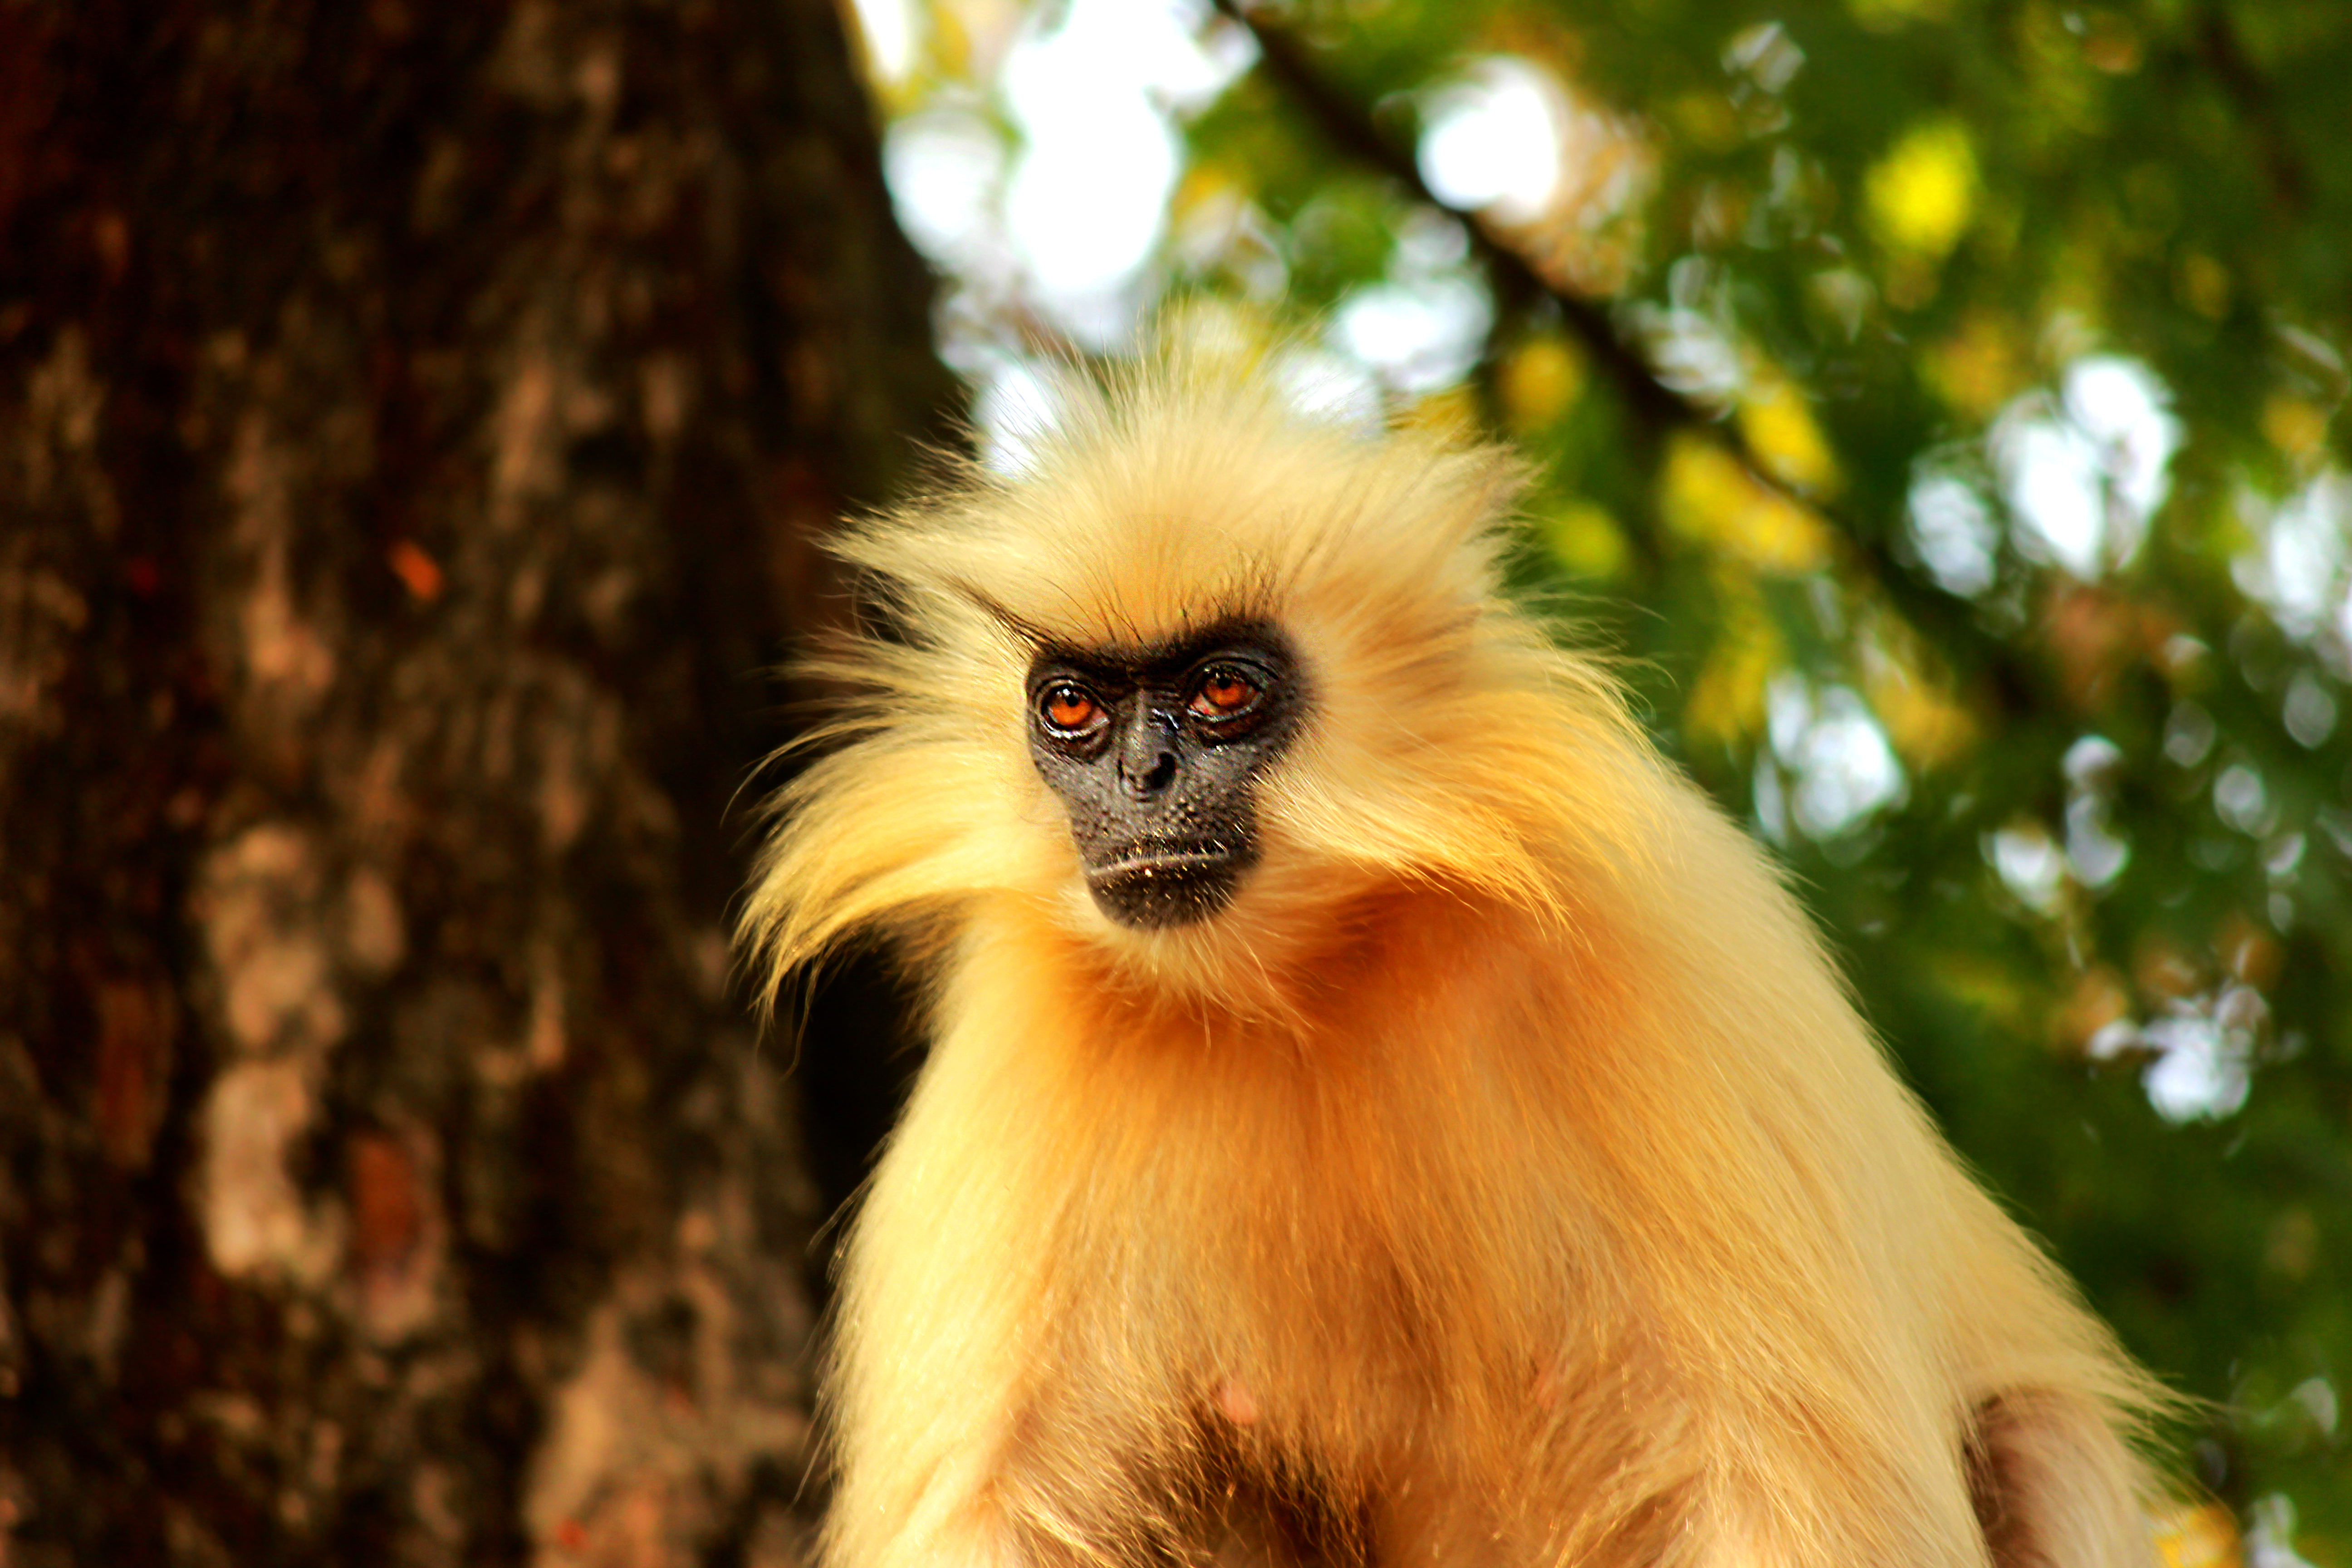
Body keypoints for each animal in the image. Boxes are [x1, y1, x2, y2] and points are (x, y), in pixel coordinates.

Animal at [748, 355, 2164, 1568]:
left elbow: (1800, 1490)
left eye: (1221, 693)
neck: (1327, 975)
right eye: (1073, 708)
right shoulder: (1030, 1035)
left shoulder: (1672, 938)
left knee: (2042, 1436)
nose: (1142, 781)